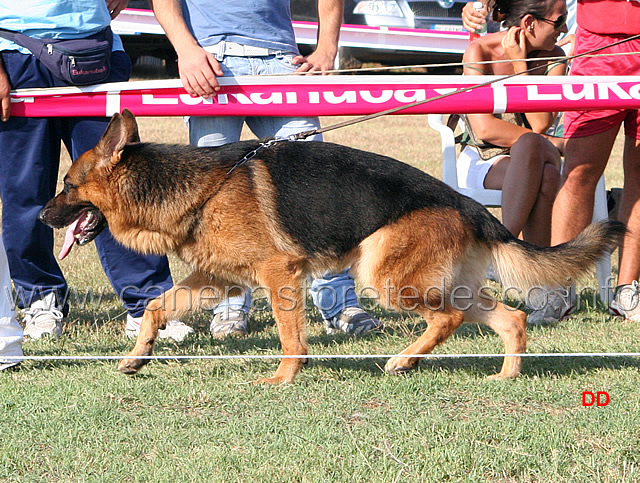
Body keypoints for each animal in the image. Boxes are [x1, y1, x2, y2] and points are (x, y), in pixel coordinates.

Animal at [37, 110, 624, 386]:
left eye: (66, 184)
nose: (41, 216)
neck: (200, 186)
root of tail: (464, 201)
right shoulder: (218, 279)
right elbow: (159, 307)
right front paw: (138, 357)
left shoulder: (280, 274)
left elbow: (289, 336)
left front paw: (282, 379)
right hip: (441, 282)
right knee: (508, 317)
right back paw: (506, 374)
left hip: (385, 279)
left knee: (448, 319)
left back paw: (402, 361)